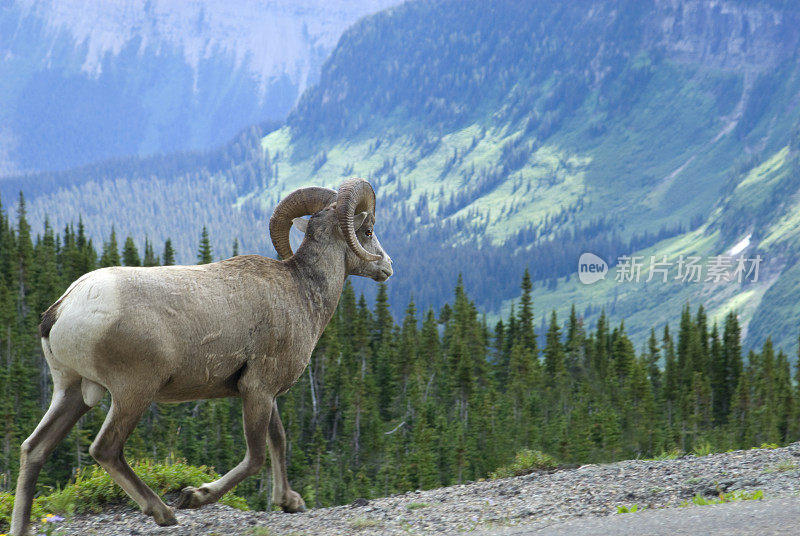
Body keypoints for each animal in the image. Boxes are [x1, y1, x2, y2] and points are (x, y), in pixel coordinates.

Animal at [9, 179, 390, 532]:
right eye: (368, 230)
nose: (387, 266)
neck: (302, 292)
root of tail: (62, 309)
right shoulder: (256, 390)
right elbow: (256, 456)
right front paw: (196, 496)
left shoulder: (265, 392)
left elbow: (278, 441)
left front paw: (290, 502)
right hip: (132, 394)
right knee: (105, 449)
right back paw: (164, 513)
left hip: (73, 392)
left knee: (34, 449)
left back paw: (20, 526)